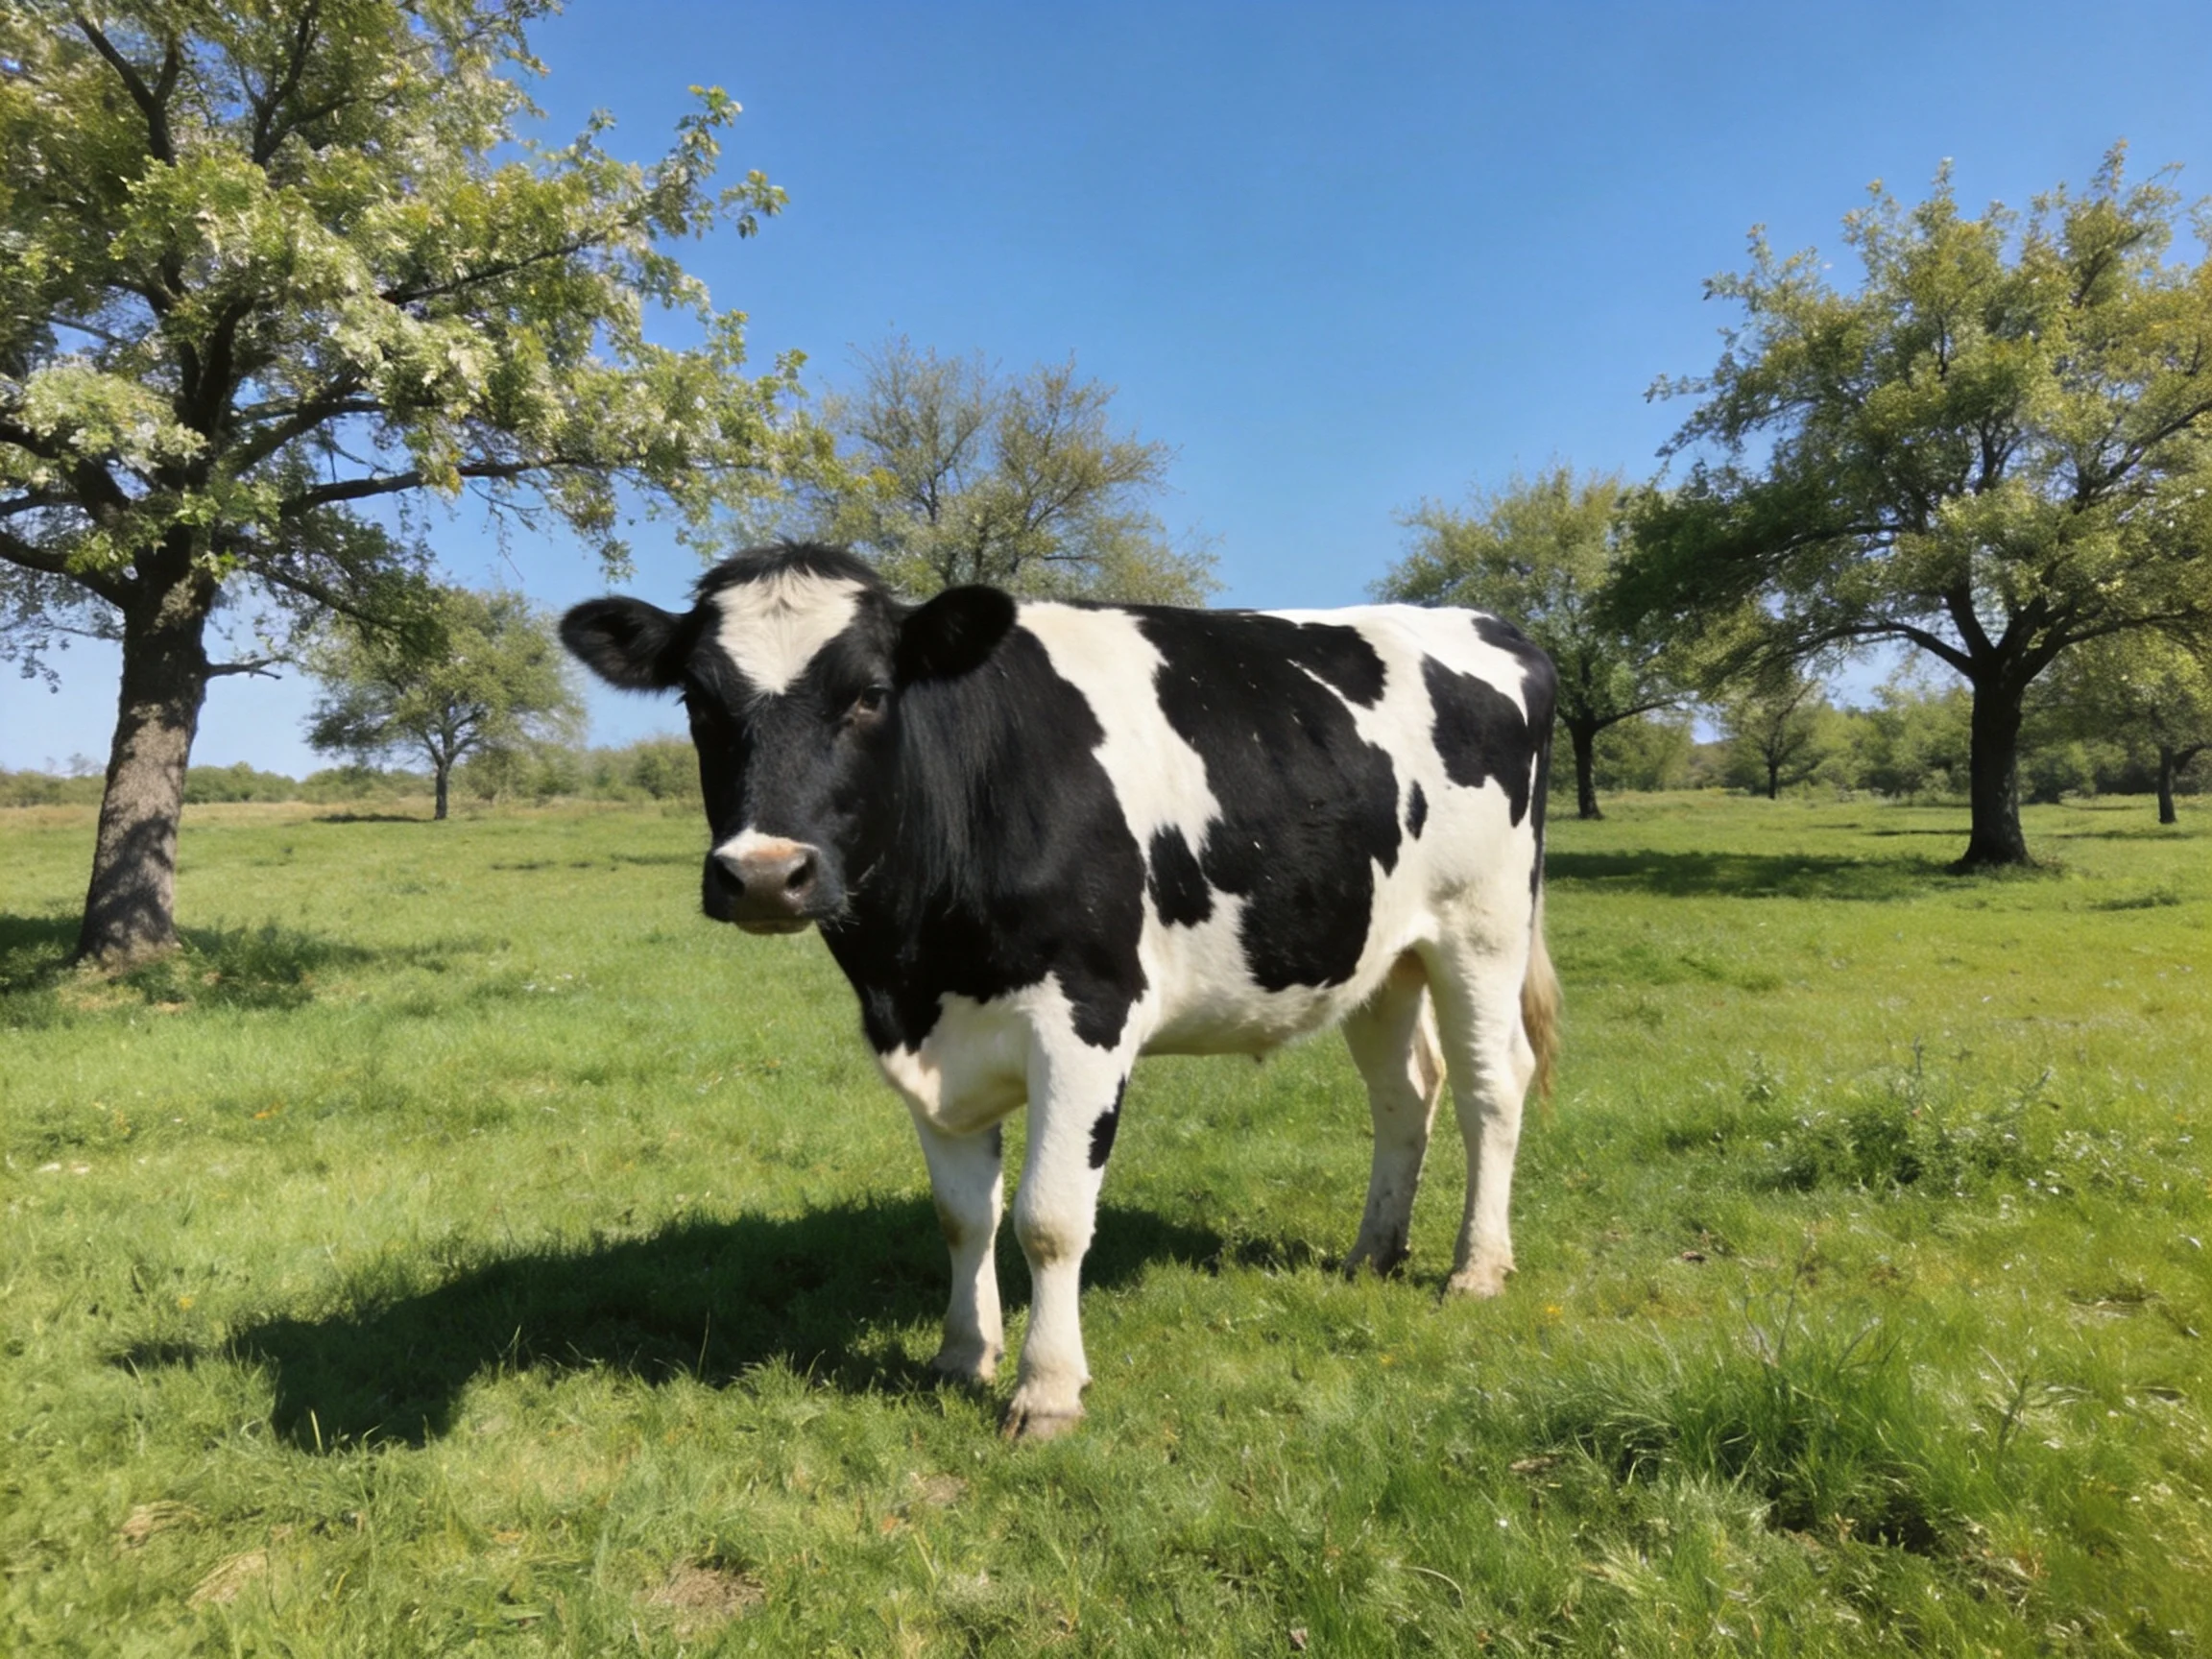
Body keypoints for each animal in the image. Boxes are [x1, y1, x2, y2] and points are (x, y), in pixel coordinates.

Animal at [562, 543, 1559, 1439]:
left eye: (871, 694)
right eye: (698, 701)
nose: (767, 875)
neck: (917, 963)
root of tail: (1487, 623)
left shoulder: (1086, 1018)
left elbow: (1048, 1217)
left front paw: (1046, 1391)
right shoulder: (926, 1037)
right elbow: (962, 1215)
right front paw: (962, 1355)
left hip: (1483, 927)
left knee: (1489, 1087)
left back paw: (1475, 1269)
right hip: (1379, 951)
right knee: (1405, 1093)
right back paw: (1371, 1256)